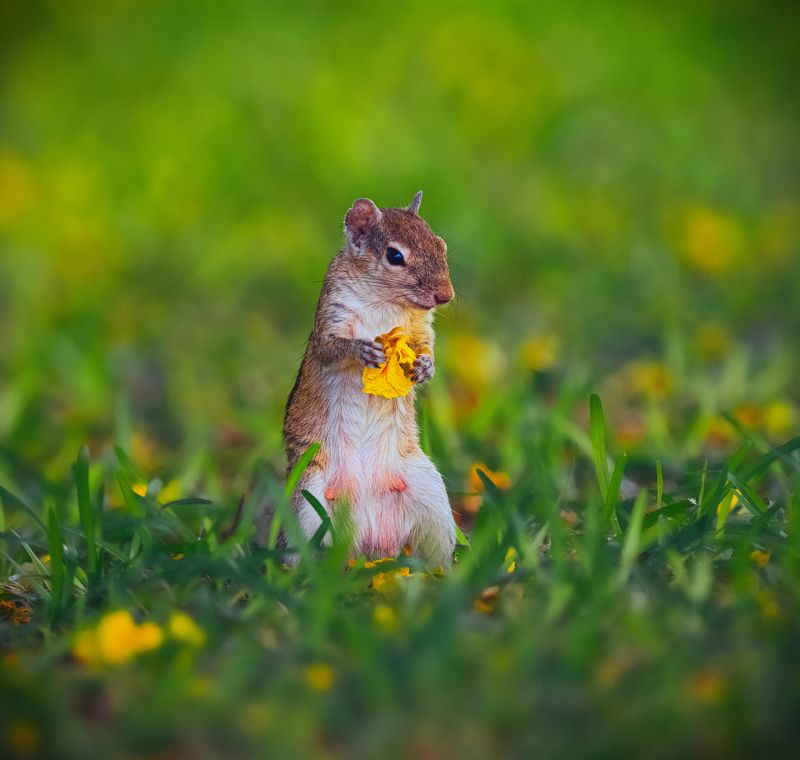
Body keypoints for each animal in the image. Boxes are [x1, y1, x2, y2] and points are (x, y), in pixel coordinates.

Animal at [282, 191, 456, 567]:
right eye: (395, 256)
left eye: (440, 244)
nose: (445, 296)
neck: (384, 300)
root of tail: (372, 543)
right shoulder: (331, 315)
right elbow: (330, 349)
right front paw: (362, 350)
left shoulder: (420, 326)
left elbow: (425, 344)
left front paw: (425, 367)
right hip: (307, 503)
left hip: (432, 498)